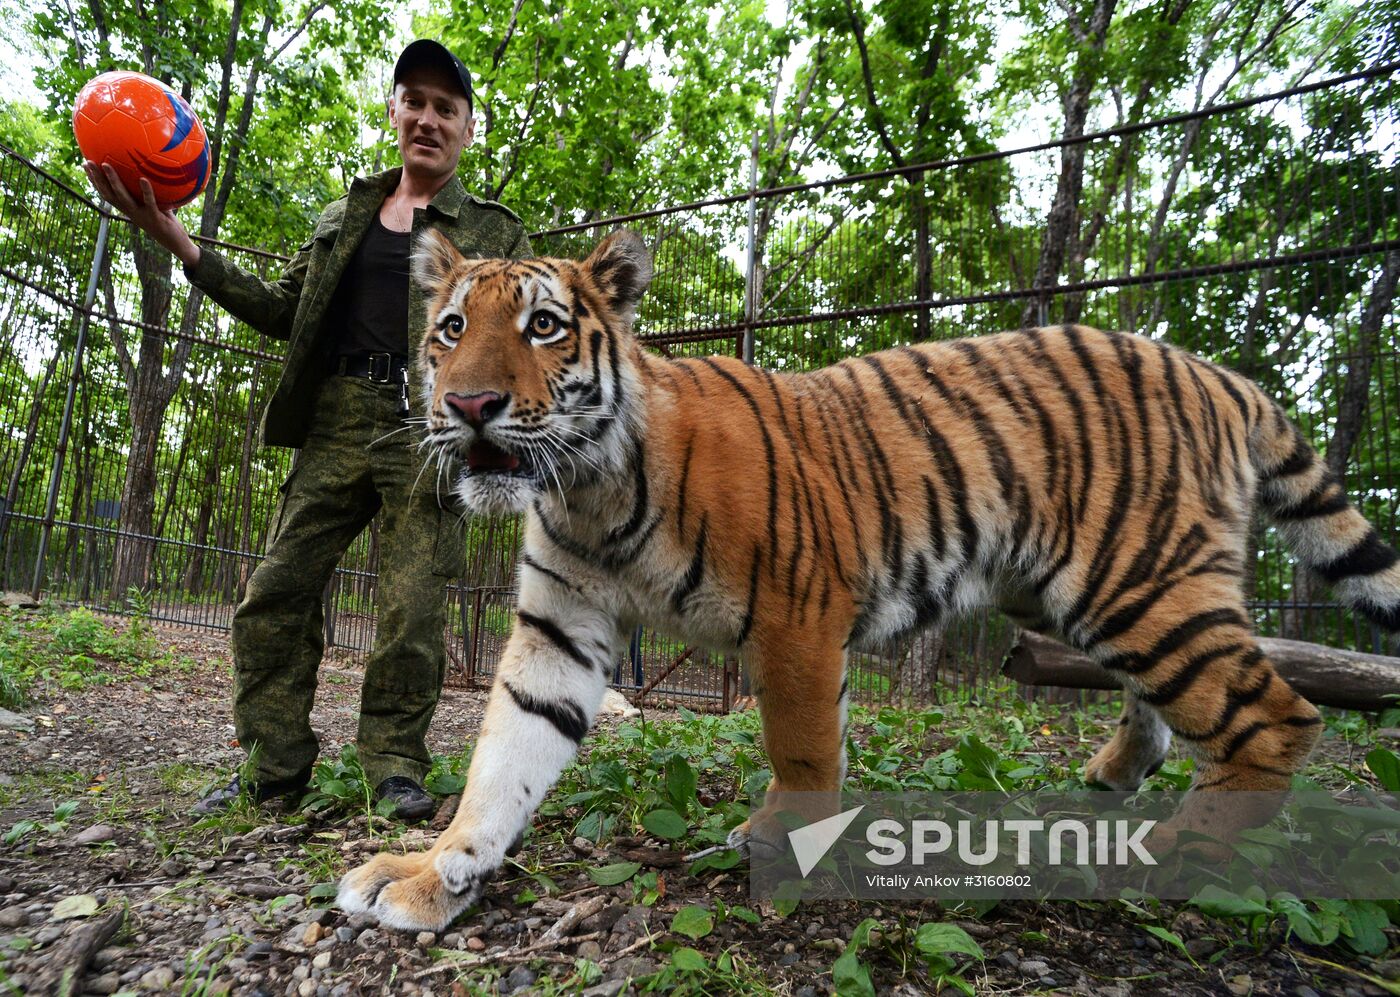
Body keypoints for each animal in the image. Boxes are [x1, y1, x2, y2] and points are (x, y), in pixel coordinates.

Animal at [338, 228, 1400, 932]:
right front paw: (432, 872)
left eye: (546, 326)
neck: (588, 490)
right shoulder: (558, 630)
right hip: (1090, 594)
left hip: (1138, 582)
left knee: (1278, 716)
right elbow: (504, 760)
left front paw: (780, 842)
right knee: (1172, 707)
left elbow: (804, 746)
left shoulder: (799, 611)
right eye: (449, 329)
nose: (468, 404)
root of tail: (1221, 374)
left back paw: (1181, 856)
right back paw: (1109, 786)